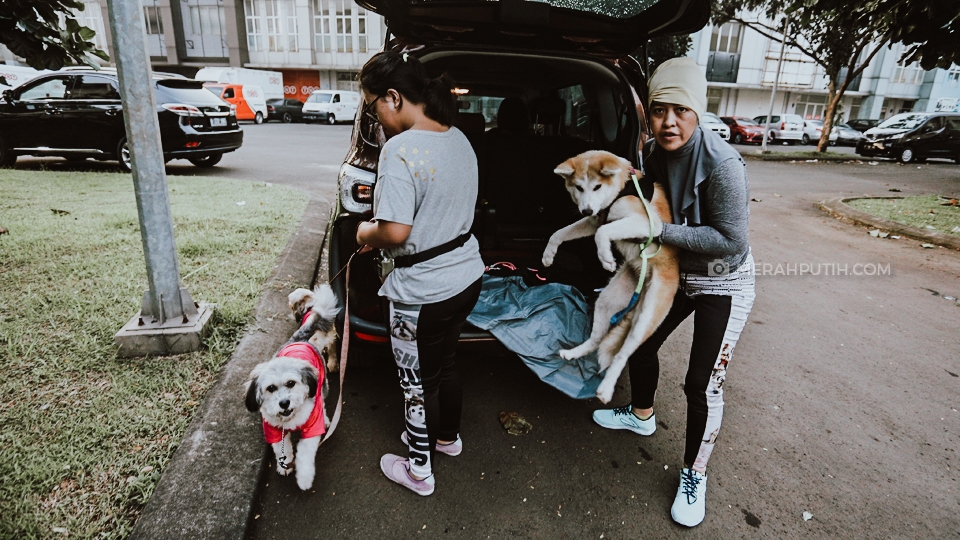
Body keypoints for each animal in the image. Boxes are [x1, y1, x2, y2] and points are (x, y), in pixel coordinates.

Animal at [245, 284, 340, 490]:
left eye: (291, 383)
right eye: (270, 388)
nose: (284, 403)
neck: (291, 418)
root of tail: (300, 339)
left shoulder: (311, 430)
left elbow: (304, 454)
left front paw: (304, 479)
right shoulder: (273, 431)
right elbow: (284, 449)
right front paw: (285, 465)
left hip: (322, 385)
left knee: (323, 401)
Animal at [542, 150, 680, 404]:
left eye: (597, 186)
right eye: (578, 187)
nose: (586, 209)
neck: (622, 189)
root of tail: (643, 283)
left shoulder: (649, 224)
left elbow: (602, 232)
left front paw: (605, 257)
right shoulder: (594, 219)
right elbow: (559, 233)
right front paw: (548, 255)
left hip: (645, 319)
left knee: (622, 354)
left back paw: (605, 389)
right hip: (606, 300)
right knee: (597, 340)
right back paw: (573, 352)